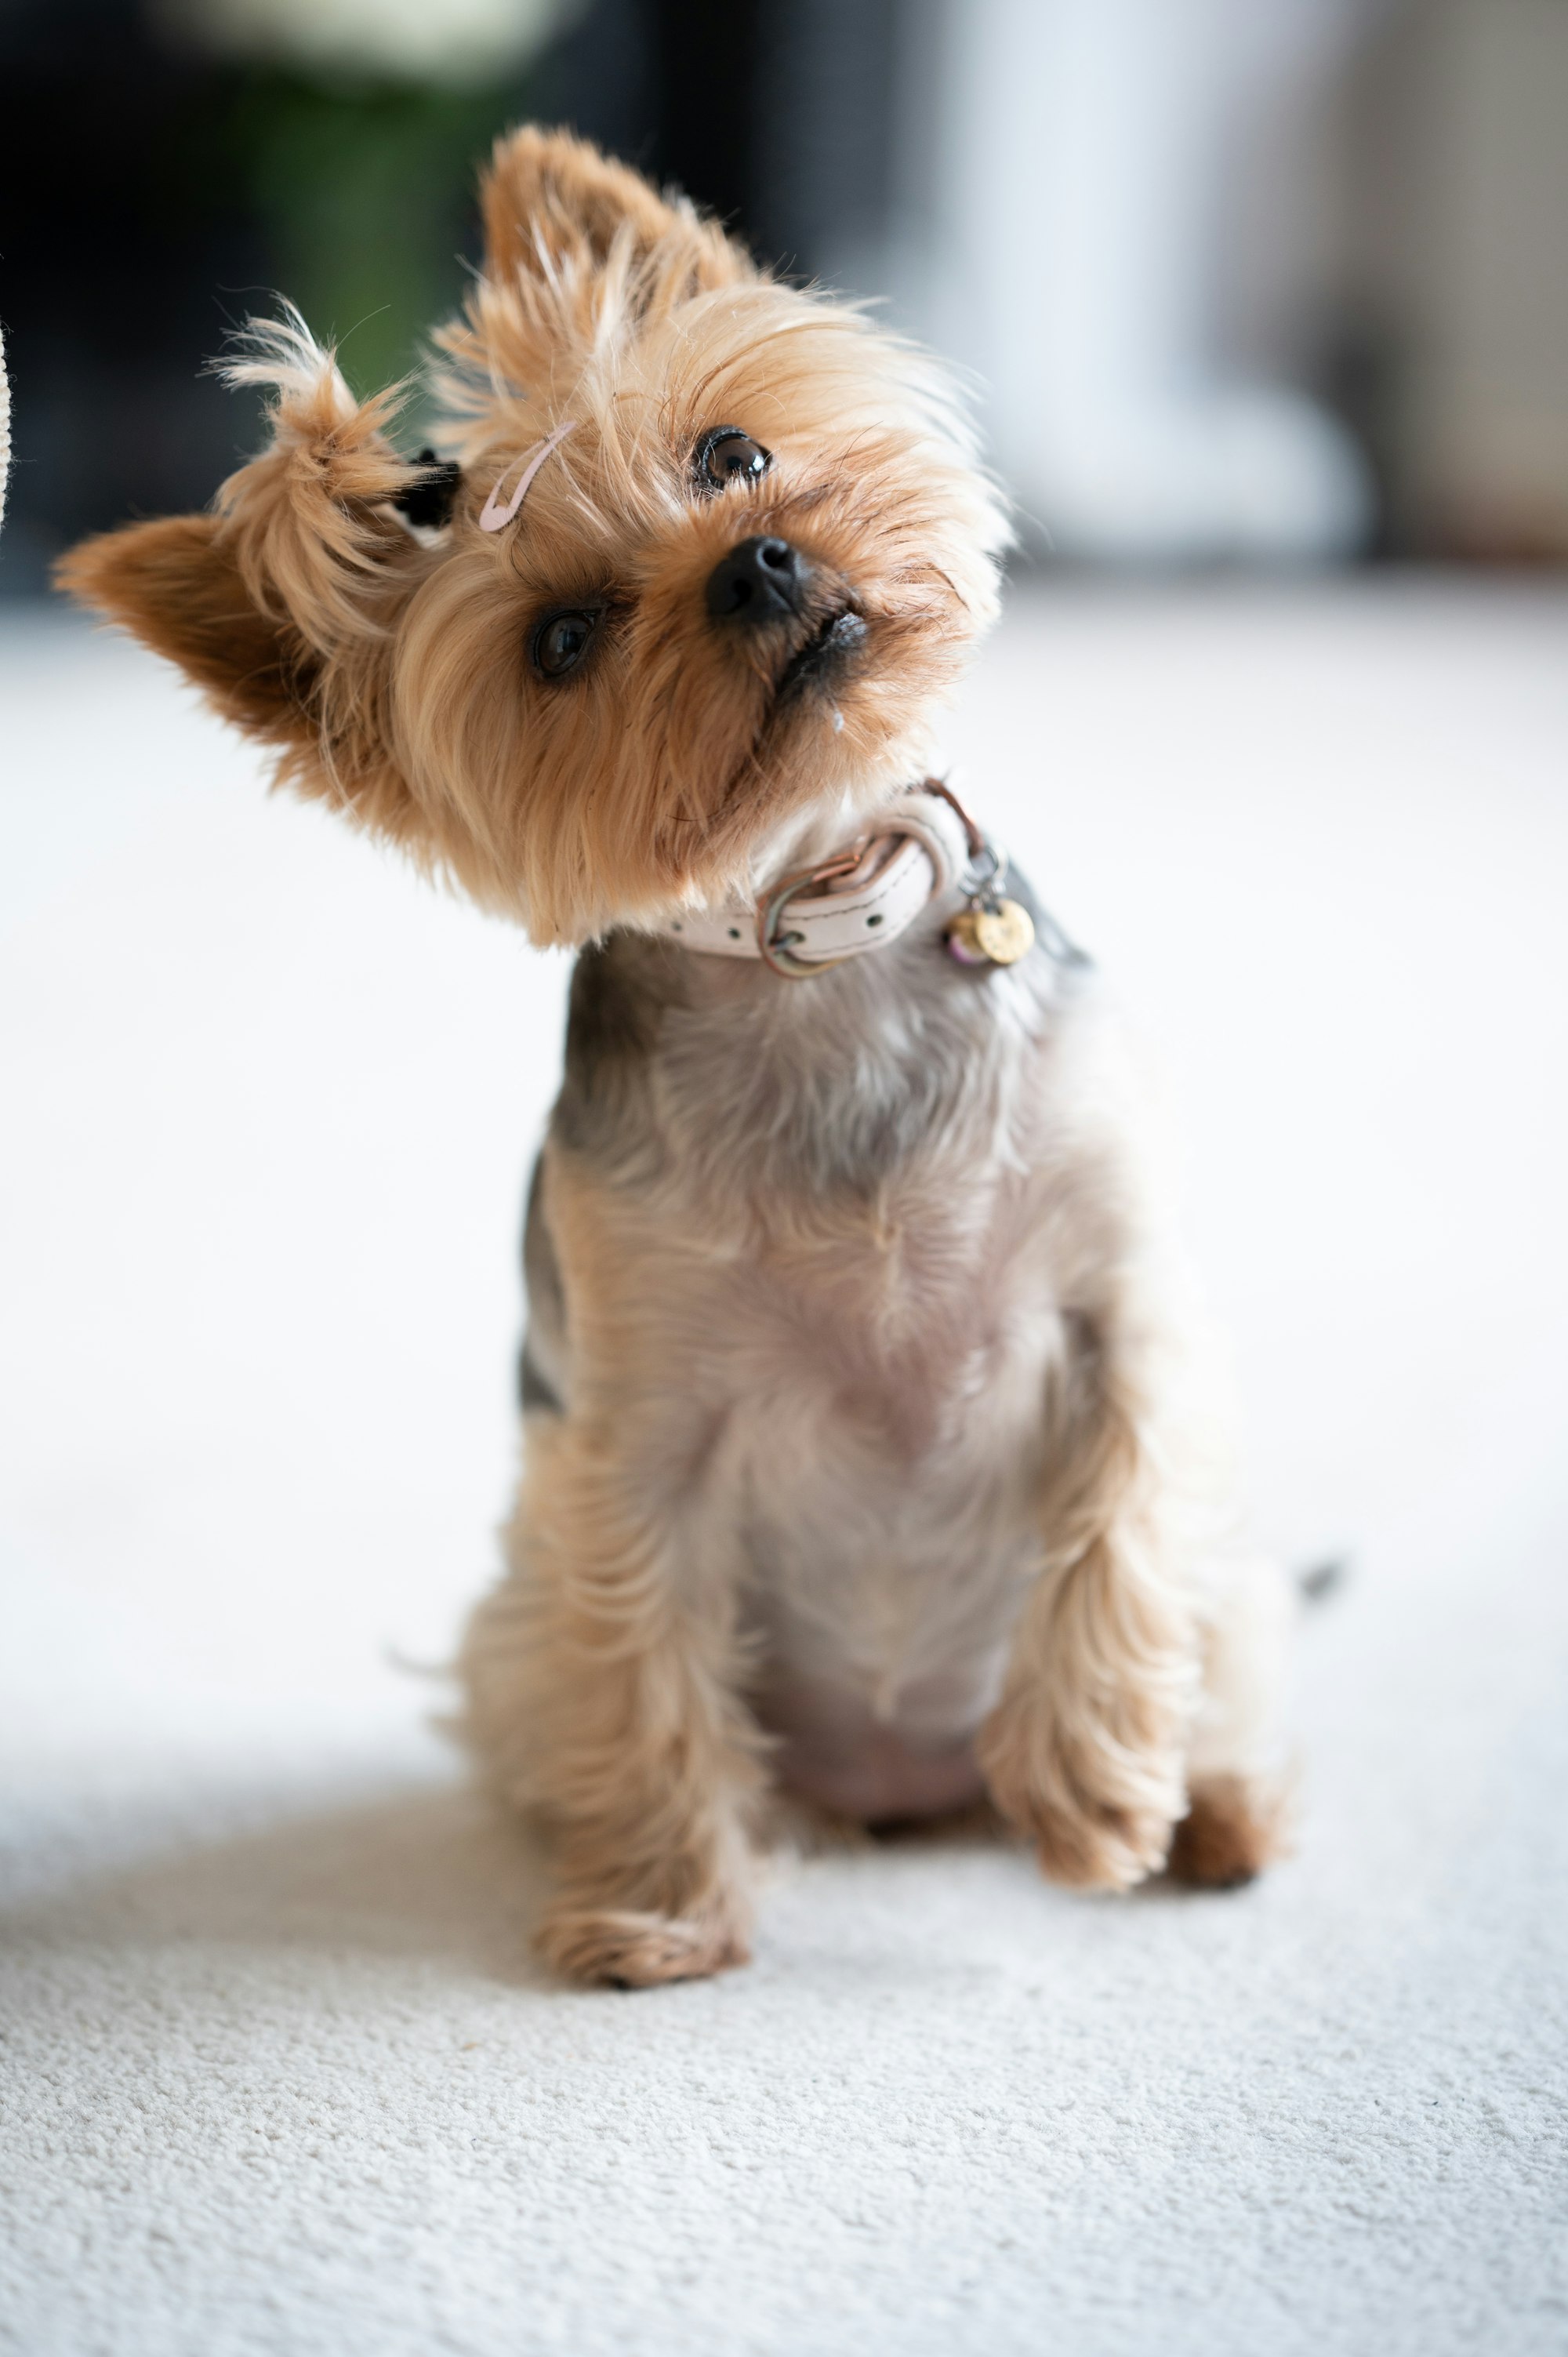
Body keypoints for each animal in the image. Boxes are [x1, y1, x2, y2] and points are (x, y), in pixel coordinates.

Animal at [64, 119, 1283, 1980]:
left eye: (731, 452)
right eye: (563, 639)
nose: (756, 557)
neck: (812, 926)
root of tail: (910, 1796)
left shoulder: (1117, 1310)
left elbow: (1121, 1532)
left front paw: (1094, 1802)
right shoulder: (633, 1424)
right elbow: (640, 1647)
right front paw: (659, 1909)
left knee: (1213, 1629)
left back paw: (1209, 1811)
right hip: (514, 1618)